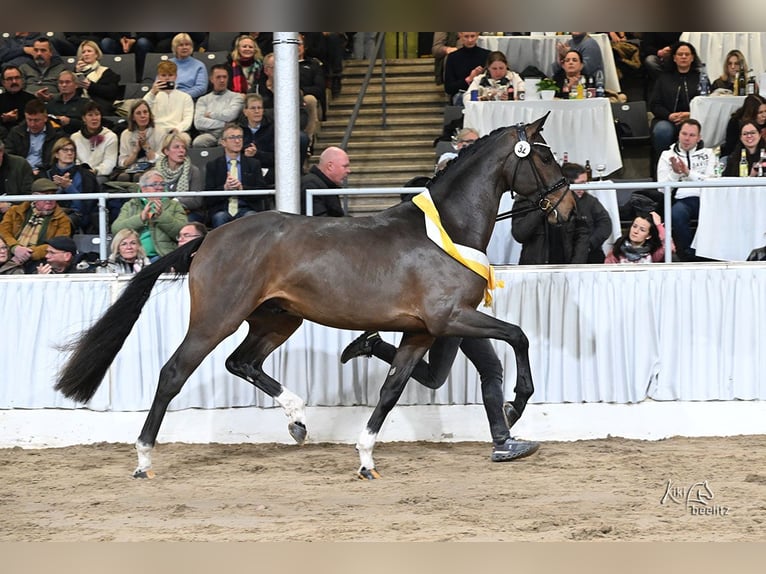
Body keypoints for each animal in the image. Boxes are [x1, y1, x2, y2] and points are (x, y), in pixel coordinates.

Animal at [55, 113, 575, 479]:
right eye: (545, 157)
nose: (567, 206)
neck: (446, 229)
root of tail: (208, 238)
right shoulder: (451, 318)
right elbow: (519, 336)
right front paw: (515, 405)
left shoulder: (422, 332)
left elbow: (392, 389)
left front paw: (366, 458)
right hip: (216, 319)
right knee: (173, 373)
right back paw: (143, 459)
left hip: (277, 319)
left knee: (241, 361)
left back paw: (298, 417)